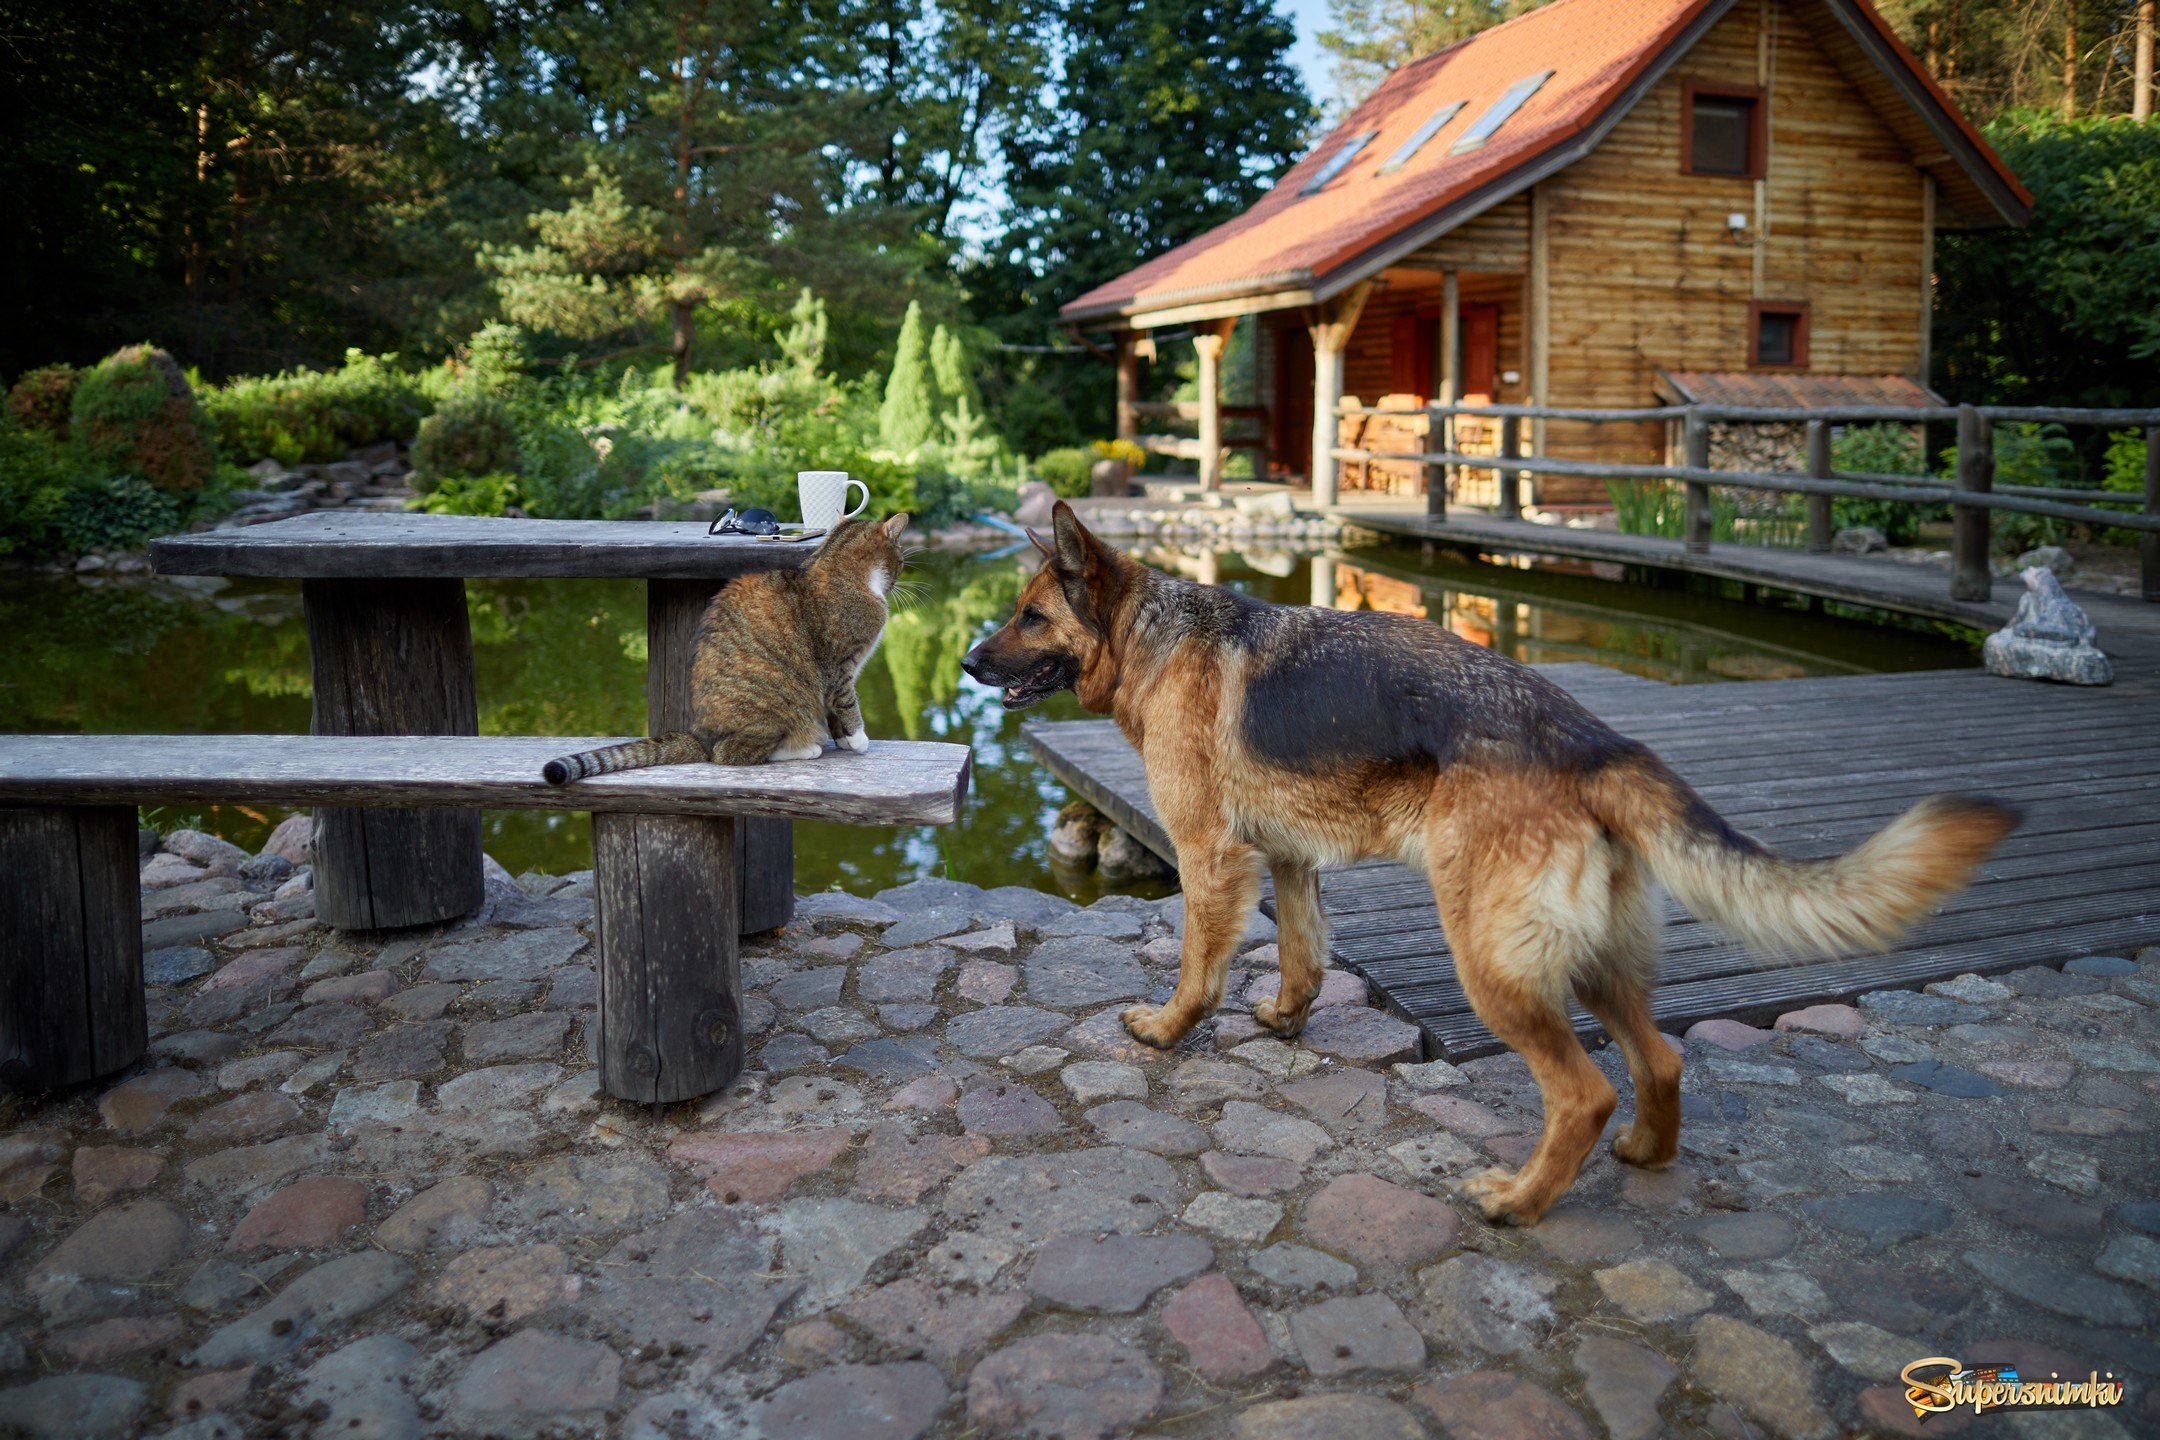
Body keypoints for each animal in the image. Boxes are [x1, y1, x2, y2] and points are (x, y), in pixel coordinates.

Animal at [548, 505, 911, 777]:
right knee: (728, 753)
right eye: (903, 562)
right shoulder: (839, 668)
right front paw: (859, 740)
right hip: (776, 704)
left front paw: (846, 742)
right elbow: (847, 705)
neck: (837, 566)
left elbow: (836, 713)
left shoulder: (838, 675)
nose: (899, 578)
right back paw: (804, 748)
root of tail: (699, 735)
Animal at [967, 507, 2021, 1226]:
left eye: (1028, 616)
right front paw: (1284, 1020)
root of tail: (1593, 741)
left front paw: (1166, 1031)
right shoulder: (1291, 861)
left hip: (1491, 959)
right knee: (1660, 1060)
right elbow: (1303, 954)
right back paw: (1644, 1154)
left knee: (1585, 1091)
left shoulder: (1209, 857)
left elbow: (1199, 965)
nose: (971, 664)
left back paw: (1519, 1200)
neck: (1156, 634)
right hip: (1592, 962)